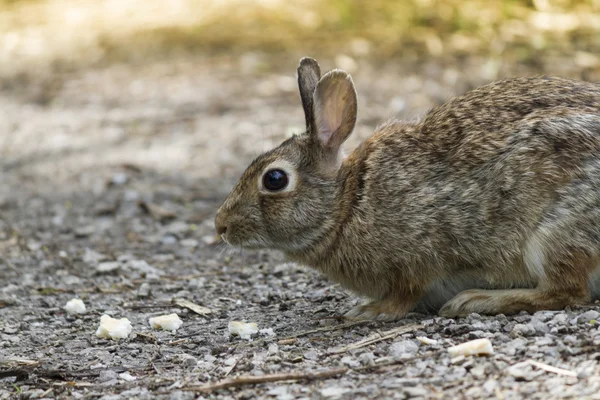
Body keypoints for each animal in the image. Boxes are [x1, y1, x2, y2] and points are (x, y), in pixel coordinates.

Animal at [214, 56, 600, 320]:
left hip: (554, 235)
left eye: (274, 179)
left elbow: (405, 293)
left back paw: (474, 300)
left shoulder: (418, 254)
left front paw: (370, 311)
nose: (220, 225)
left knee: (567, 291)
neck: (349, 203)